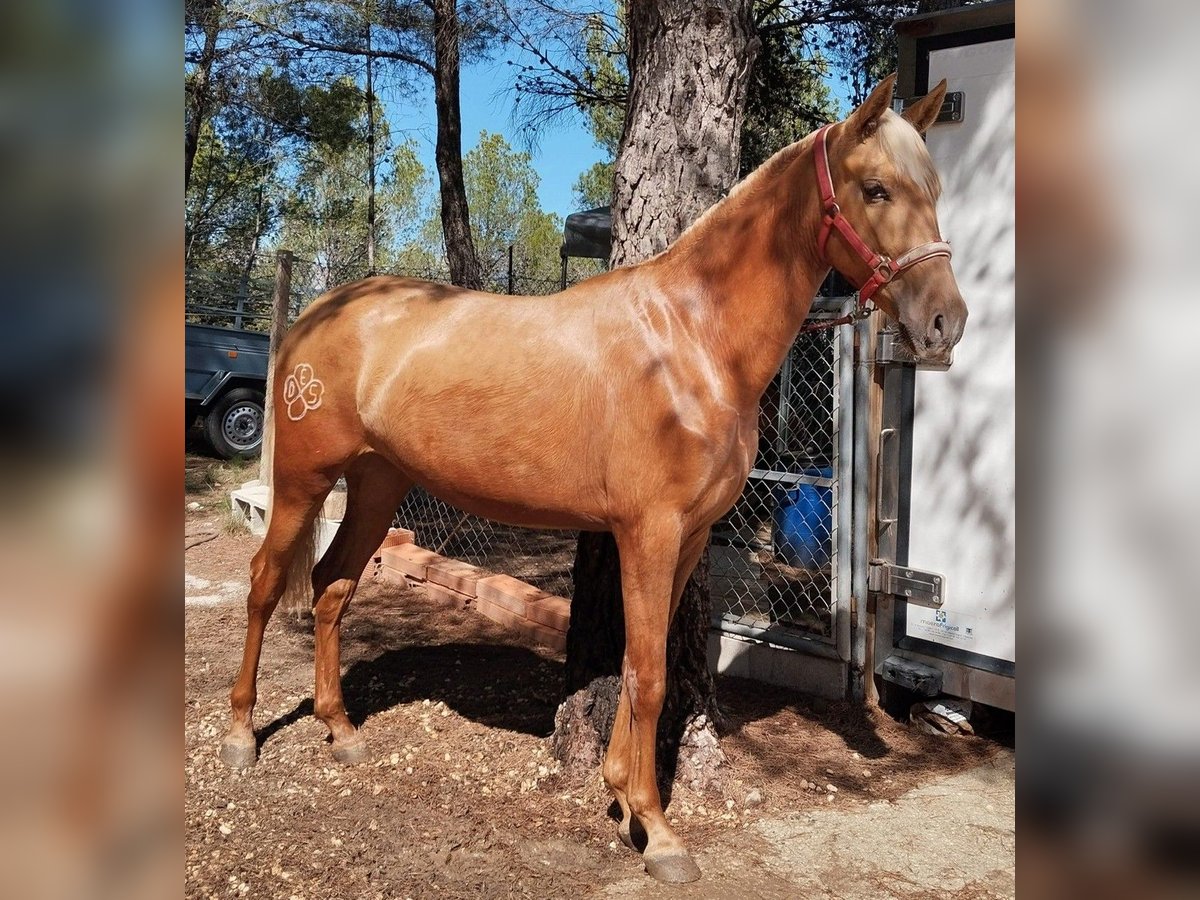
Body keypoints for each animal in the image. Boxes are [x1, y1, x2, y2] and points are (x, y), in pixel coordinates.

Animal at [218, 75, 964, 883]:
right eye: (876, 188)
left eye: (935, 189)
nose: (945, 324)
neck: (692, 340)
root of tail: (320, 311)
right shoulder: (650, 532)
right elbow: (650, 674)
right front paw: (659, 832)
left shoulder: (687, 537)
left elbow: (644, 664)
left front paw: (623, 797)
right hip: (304, 480)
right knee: (265, 583)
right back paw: (241, 734)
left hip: (378, 484)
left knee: (331, 586)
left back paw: (342, 730)